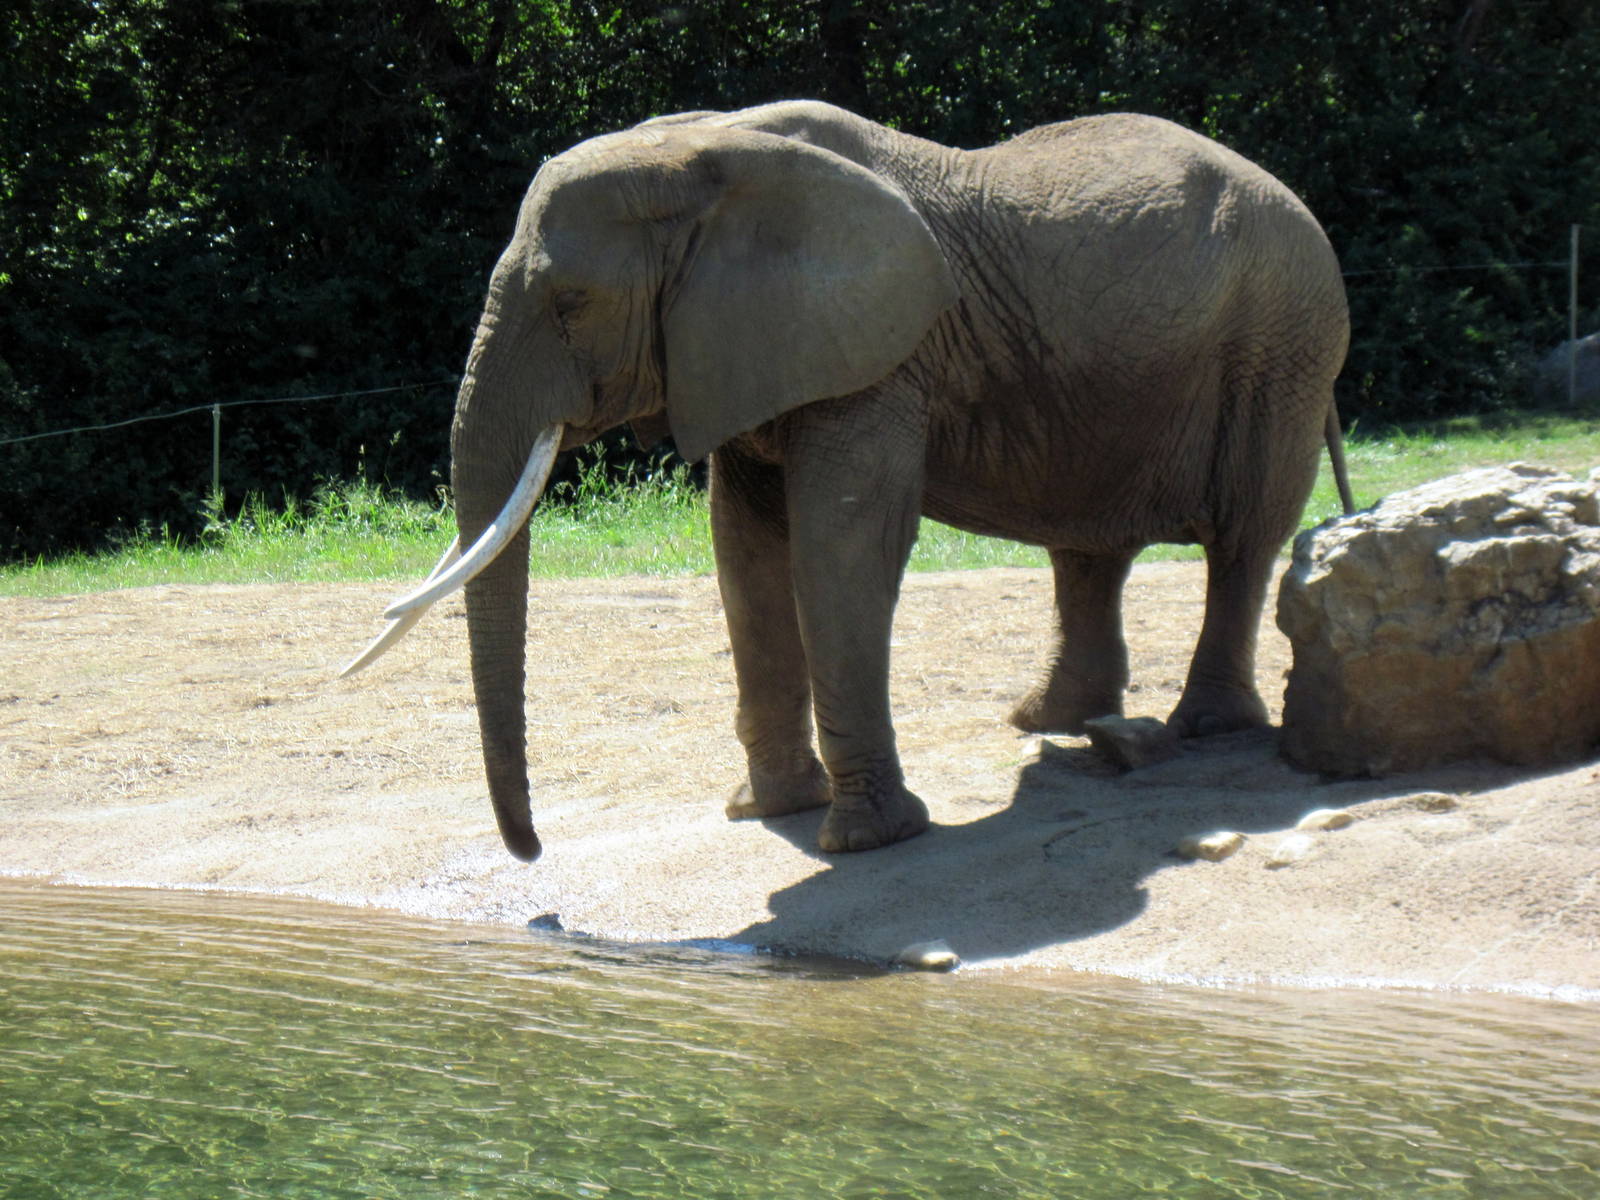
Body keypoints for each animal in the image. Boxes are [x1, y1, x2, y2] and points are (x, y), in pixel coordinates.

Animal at [346, 100, 1353, 863]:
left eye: (572, 305)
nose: (531, 853)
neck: (699, 155)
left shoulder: (875, 355)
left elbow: (841, 543)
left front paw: (869, 840)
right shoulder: (752, 351)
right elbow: (745, 551)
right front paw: (769, 811)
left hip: (1281, 345)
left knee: (1241, 537)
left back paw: (1206, 729)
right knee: (1087, 550)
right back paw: (1047, 720)